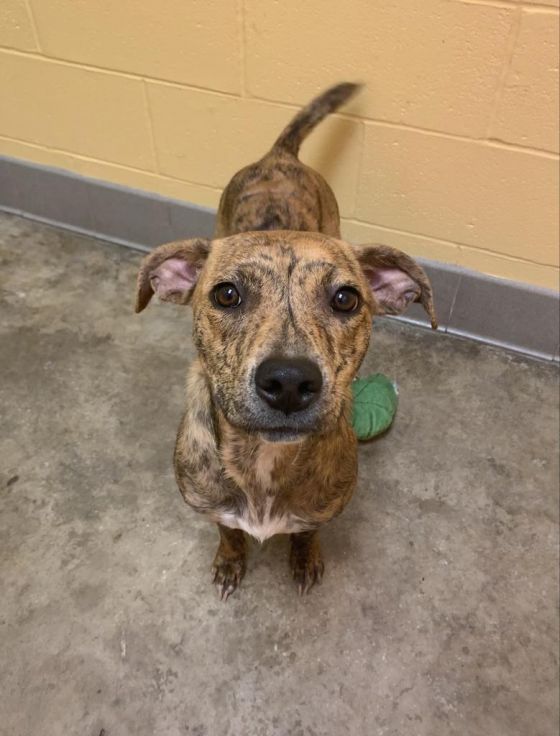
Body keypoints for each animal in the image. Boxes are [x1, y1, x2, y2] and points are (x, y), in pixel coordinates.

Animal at [135, 83, 437, 598]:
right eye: (226, 294)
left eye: (345, 299)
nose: (290, 382)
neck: (263, 461)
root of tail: (279, 156)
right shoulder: (213, 506)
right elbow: (228, 531)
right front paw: (229, 560)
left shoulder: (322, 509)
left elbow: (308, 531)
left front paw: (305, 558)